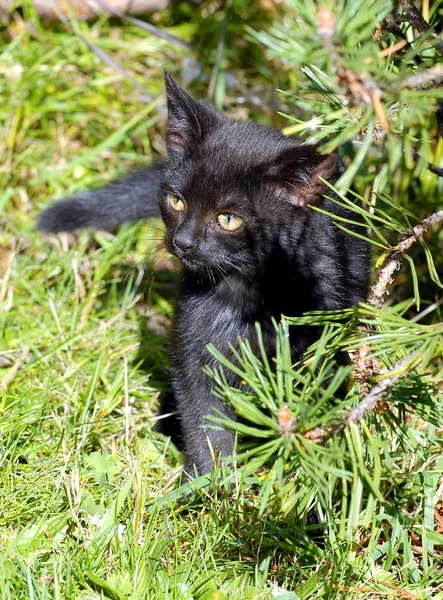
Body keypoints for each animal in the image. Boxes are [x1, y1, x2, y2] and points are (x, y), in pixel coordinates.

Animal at [39, 74, 372, 478]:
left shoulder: (320, 347)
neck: (246, 294)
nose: (182, 242)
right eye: (176, 200)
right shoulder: (196, 349)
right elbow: (205, 425)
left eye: (228, 219)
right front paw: (209, 486)